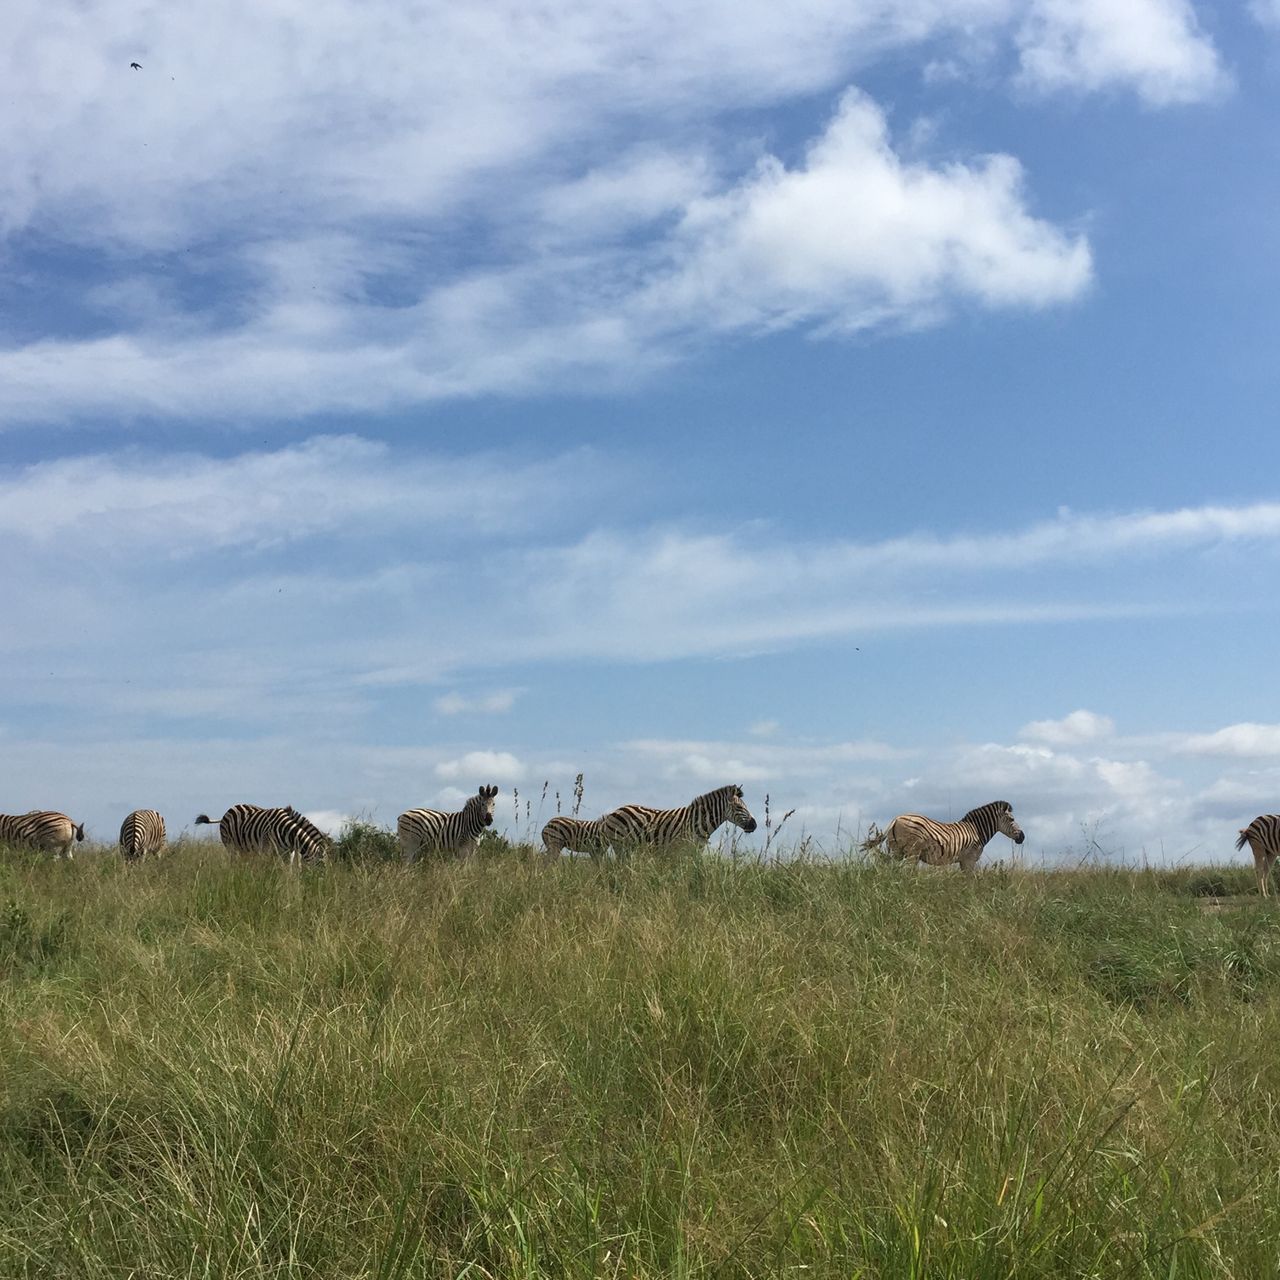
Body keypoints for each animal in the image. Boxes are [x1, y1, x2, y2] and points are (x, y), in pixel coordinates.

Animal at [194, 804, 330, 866]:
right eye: (322, 864)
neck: (288, 833)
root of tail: (227, 811)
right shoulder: (268, 848)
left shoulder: (288, 851)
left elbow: (289, 869)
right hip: (230, 845)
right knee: (233, 862)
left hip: (244, 848)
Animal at [598, 784, 758, 853]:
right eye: (739, 807)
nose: (754, 825)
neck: (697, 821)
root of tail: (614, 812)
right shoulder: (681, 848)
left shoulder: (696, 850)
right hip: (620, 845)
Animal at [862, 800, 1024, 872]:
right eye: (1012, 819)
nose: (1022, 837)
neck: (976, 830)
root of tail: (896, 819)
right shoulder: (969, 859)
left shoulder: (963, 860)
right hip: (912, 852)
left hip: (897, 851)